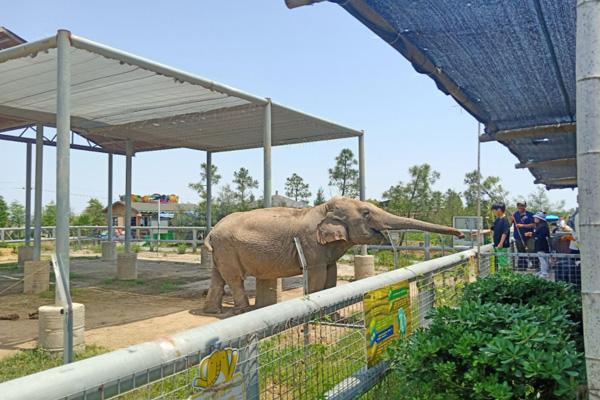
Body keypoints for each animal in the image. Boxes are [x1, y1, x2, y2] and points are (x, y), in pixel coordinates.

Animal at [202, 195, 464, 314]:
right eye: (367, 213)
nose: (462, 234)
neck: (322, 209)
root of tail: (212, 231)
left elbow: (331, 274)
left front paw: (333, 314)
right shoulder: (310, 243)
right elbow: (317, 276)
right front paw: (320, 314)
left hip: (221, 251)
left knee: (218, 277)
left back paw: (212, 312)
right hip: (228, 248)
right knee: (234, 278)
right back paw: (242, 312)